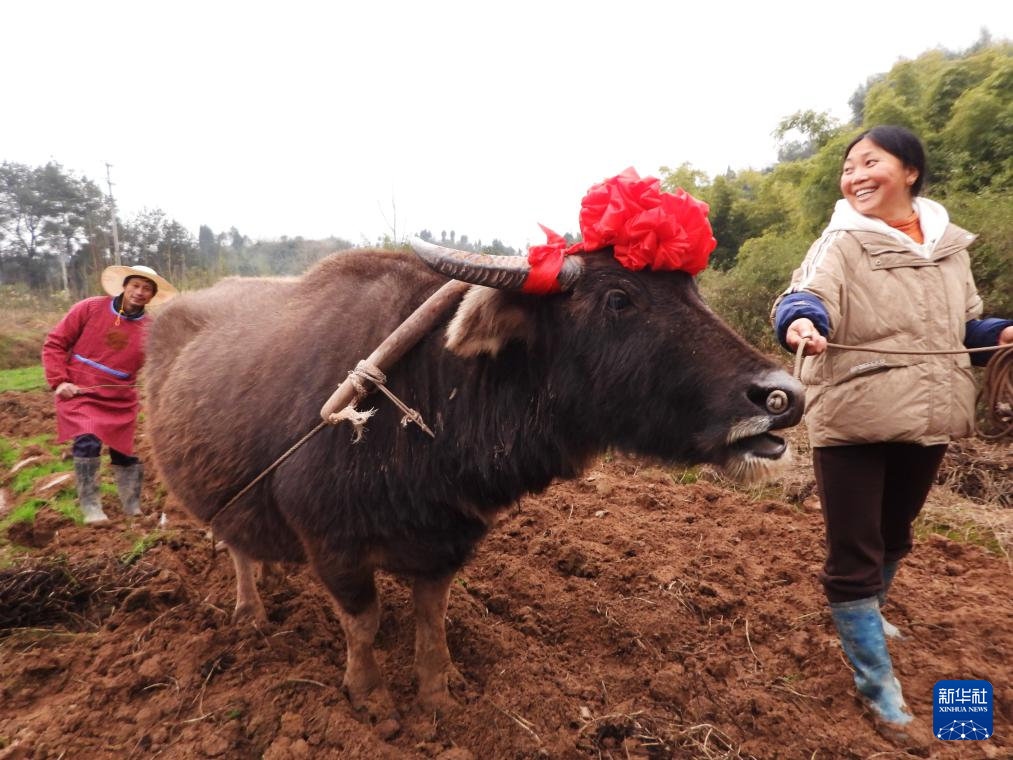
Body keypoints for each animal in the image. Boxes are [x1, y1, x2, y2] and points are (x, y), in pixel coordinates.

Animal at [146, 242, 802, 721]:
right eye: (619, 297)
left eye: (693, 290)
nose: (782, 395)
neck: (432, 398)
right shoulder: (331, 543)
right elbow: (363, 621)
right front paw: (372, 698)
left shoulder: (448, 538)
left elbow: (431, 616)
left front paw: (439, 690)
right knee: (235, 548)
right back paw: (249, 611)